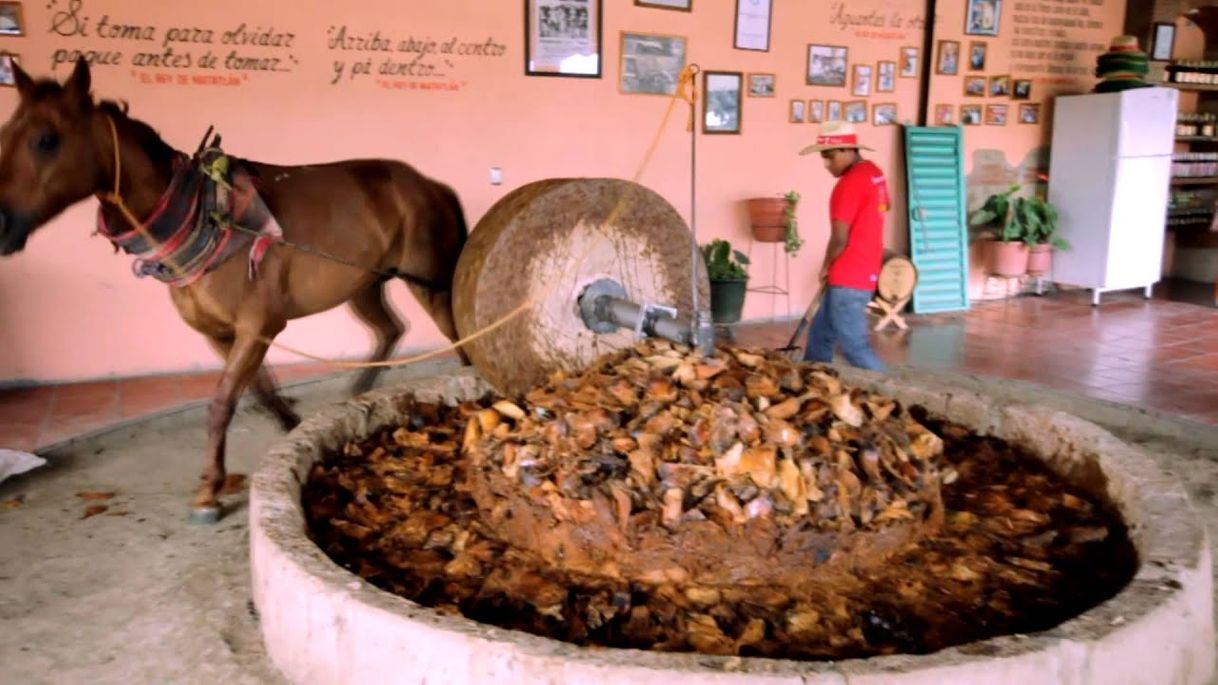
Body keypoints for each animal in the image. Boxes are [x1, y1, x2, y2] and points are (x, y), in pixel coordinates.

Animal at [0, 58, 470, 519]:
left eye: (46, 140)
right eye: (6, 133)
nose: (2, 225)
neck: (204, 217)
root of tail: (430, 184)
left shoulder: (258, 326)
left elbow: (221, 403)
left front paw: (209, 491)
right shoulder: (222, 333)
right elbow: (261, 393)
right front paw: (294, 432)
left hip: (429, 283)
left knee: (457, 336)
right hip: (364, 285)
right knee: (389, 330)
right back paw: (357, 393)